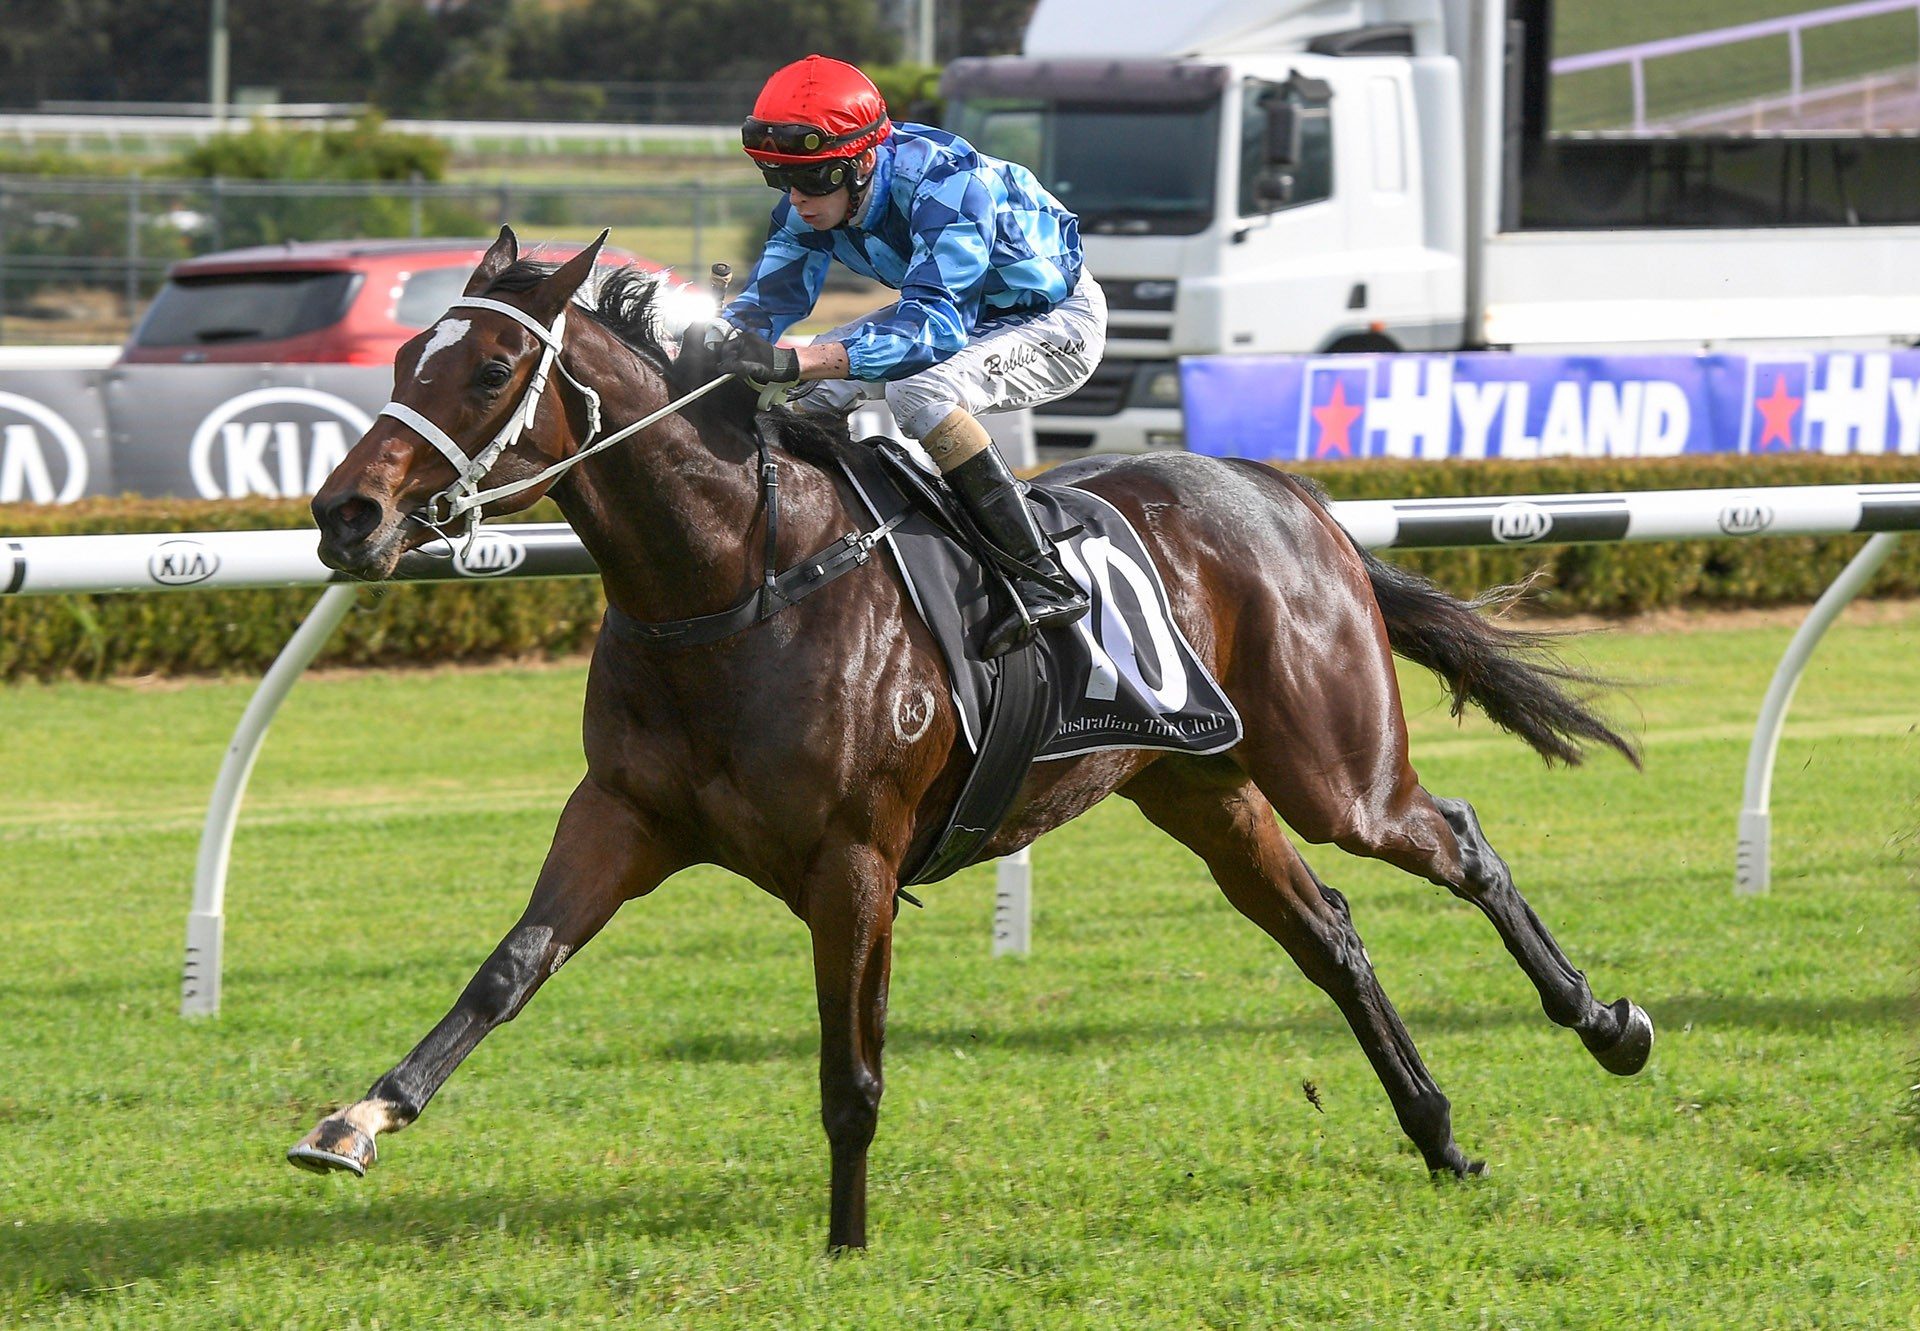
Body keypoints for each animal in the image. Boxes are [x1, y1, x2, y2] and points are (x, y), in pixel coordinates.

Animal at [295, 222, 1651, 1252]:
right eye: (406, 352)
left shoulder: (855, 857)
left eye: (485, 371)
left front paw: (845, 1242)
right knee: (1331, 932)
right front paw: (359, 1118)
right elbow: (507, 968)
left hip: (1334, 766)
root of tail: (1291, 492)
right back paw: (1441, 1134)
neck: (736, 580)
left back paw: (1605, 1024)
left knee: (1457, 839)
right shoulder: (624, 816)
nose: (344, 512)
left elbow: (850, 1071)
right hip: (1200, 783)